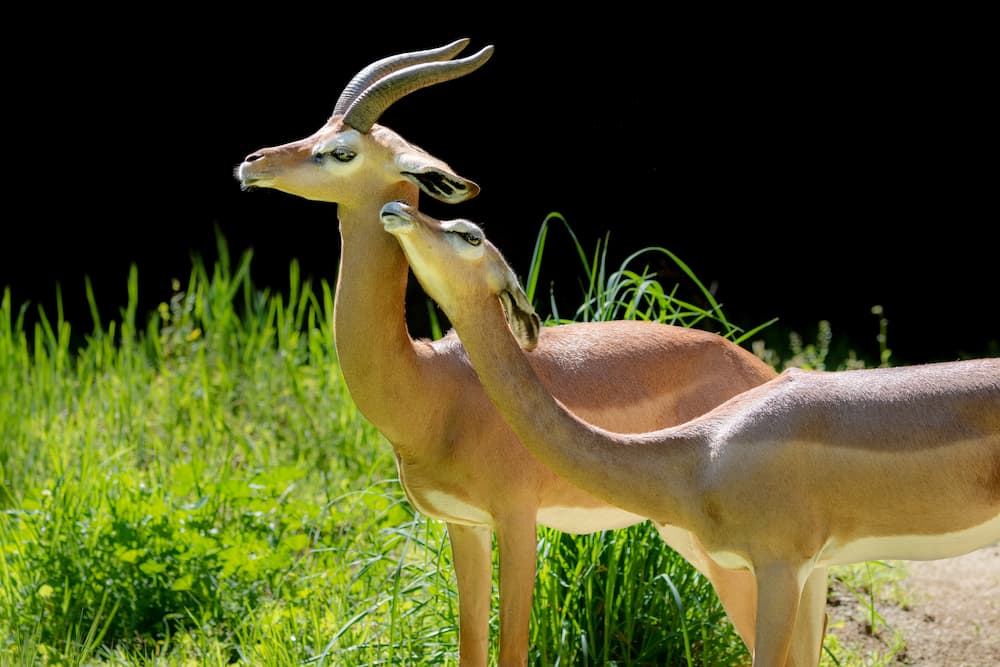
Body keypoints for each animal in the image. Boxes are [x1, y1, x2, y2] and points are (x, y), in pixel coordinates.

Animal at [235, 40, 828, 666]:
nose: (252, 162)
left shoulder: (517, 522)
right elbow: (472, 646)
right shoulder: (464, 525)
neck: (433, 386)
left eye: (341, 151)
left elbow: (511, 648)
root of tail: (765, 372)